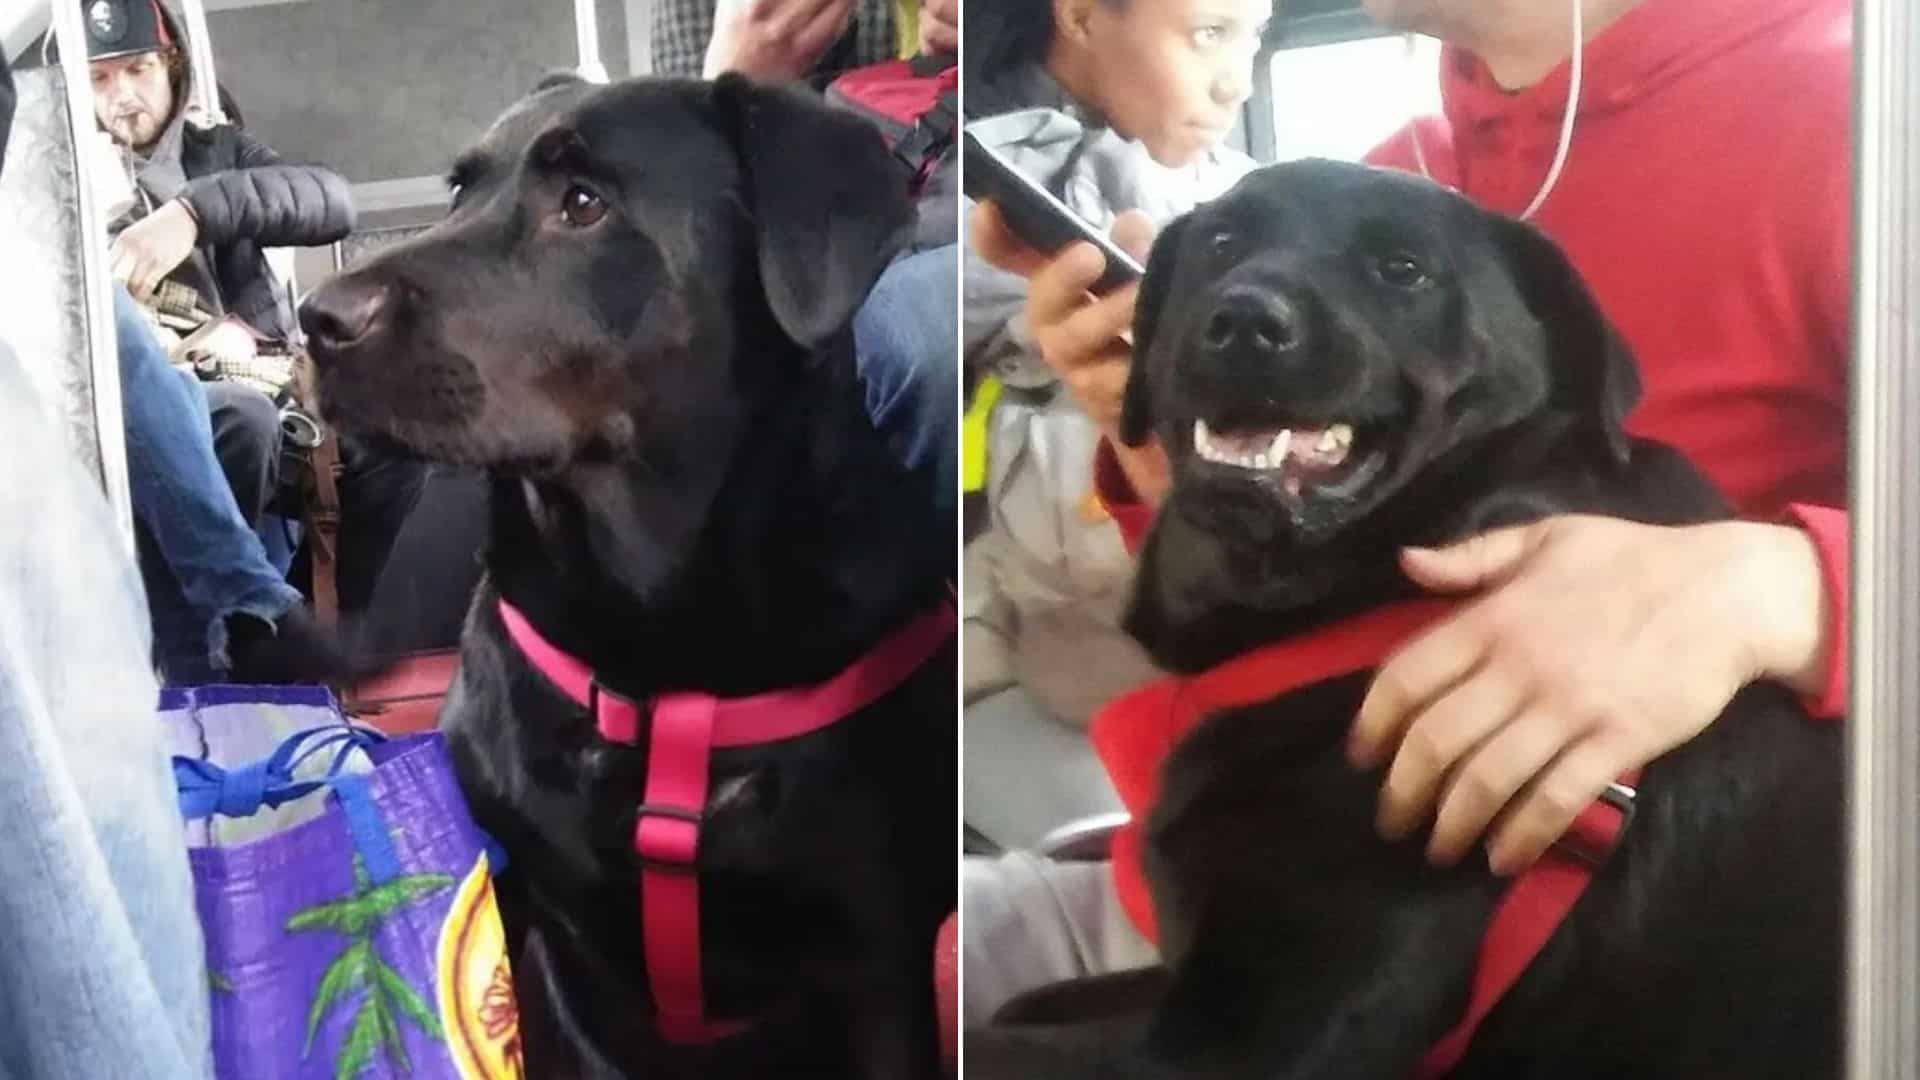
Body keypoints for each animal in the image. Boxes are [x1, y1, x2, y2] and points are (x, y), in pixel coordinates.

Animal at [975, 161, 1843, 1076]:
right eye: (1222, 241)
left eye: (1403, 270)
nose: (1243, 320)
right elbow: (1020, 1003)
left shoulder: (1252, 1043)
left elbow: (996, 1033)